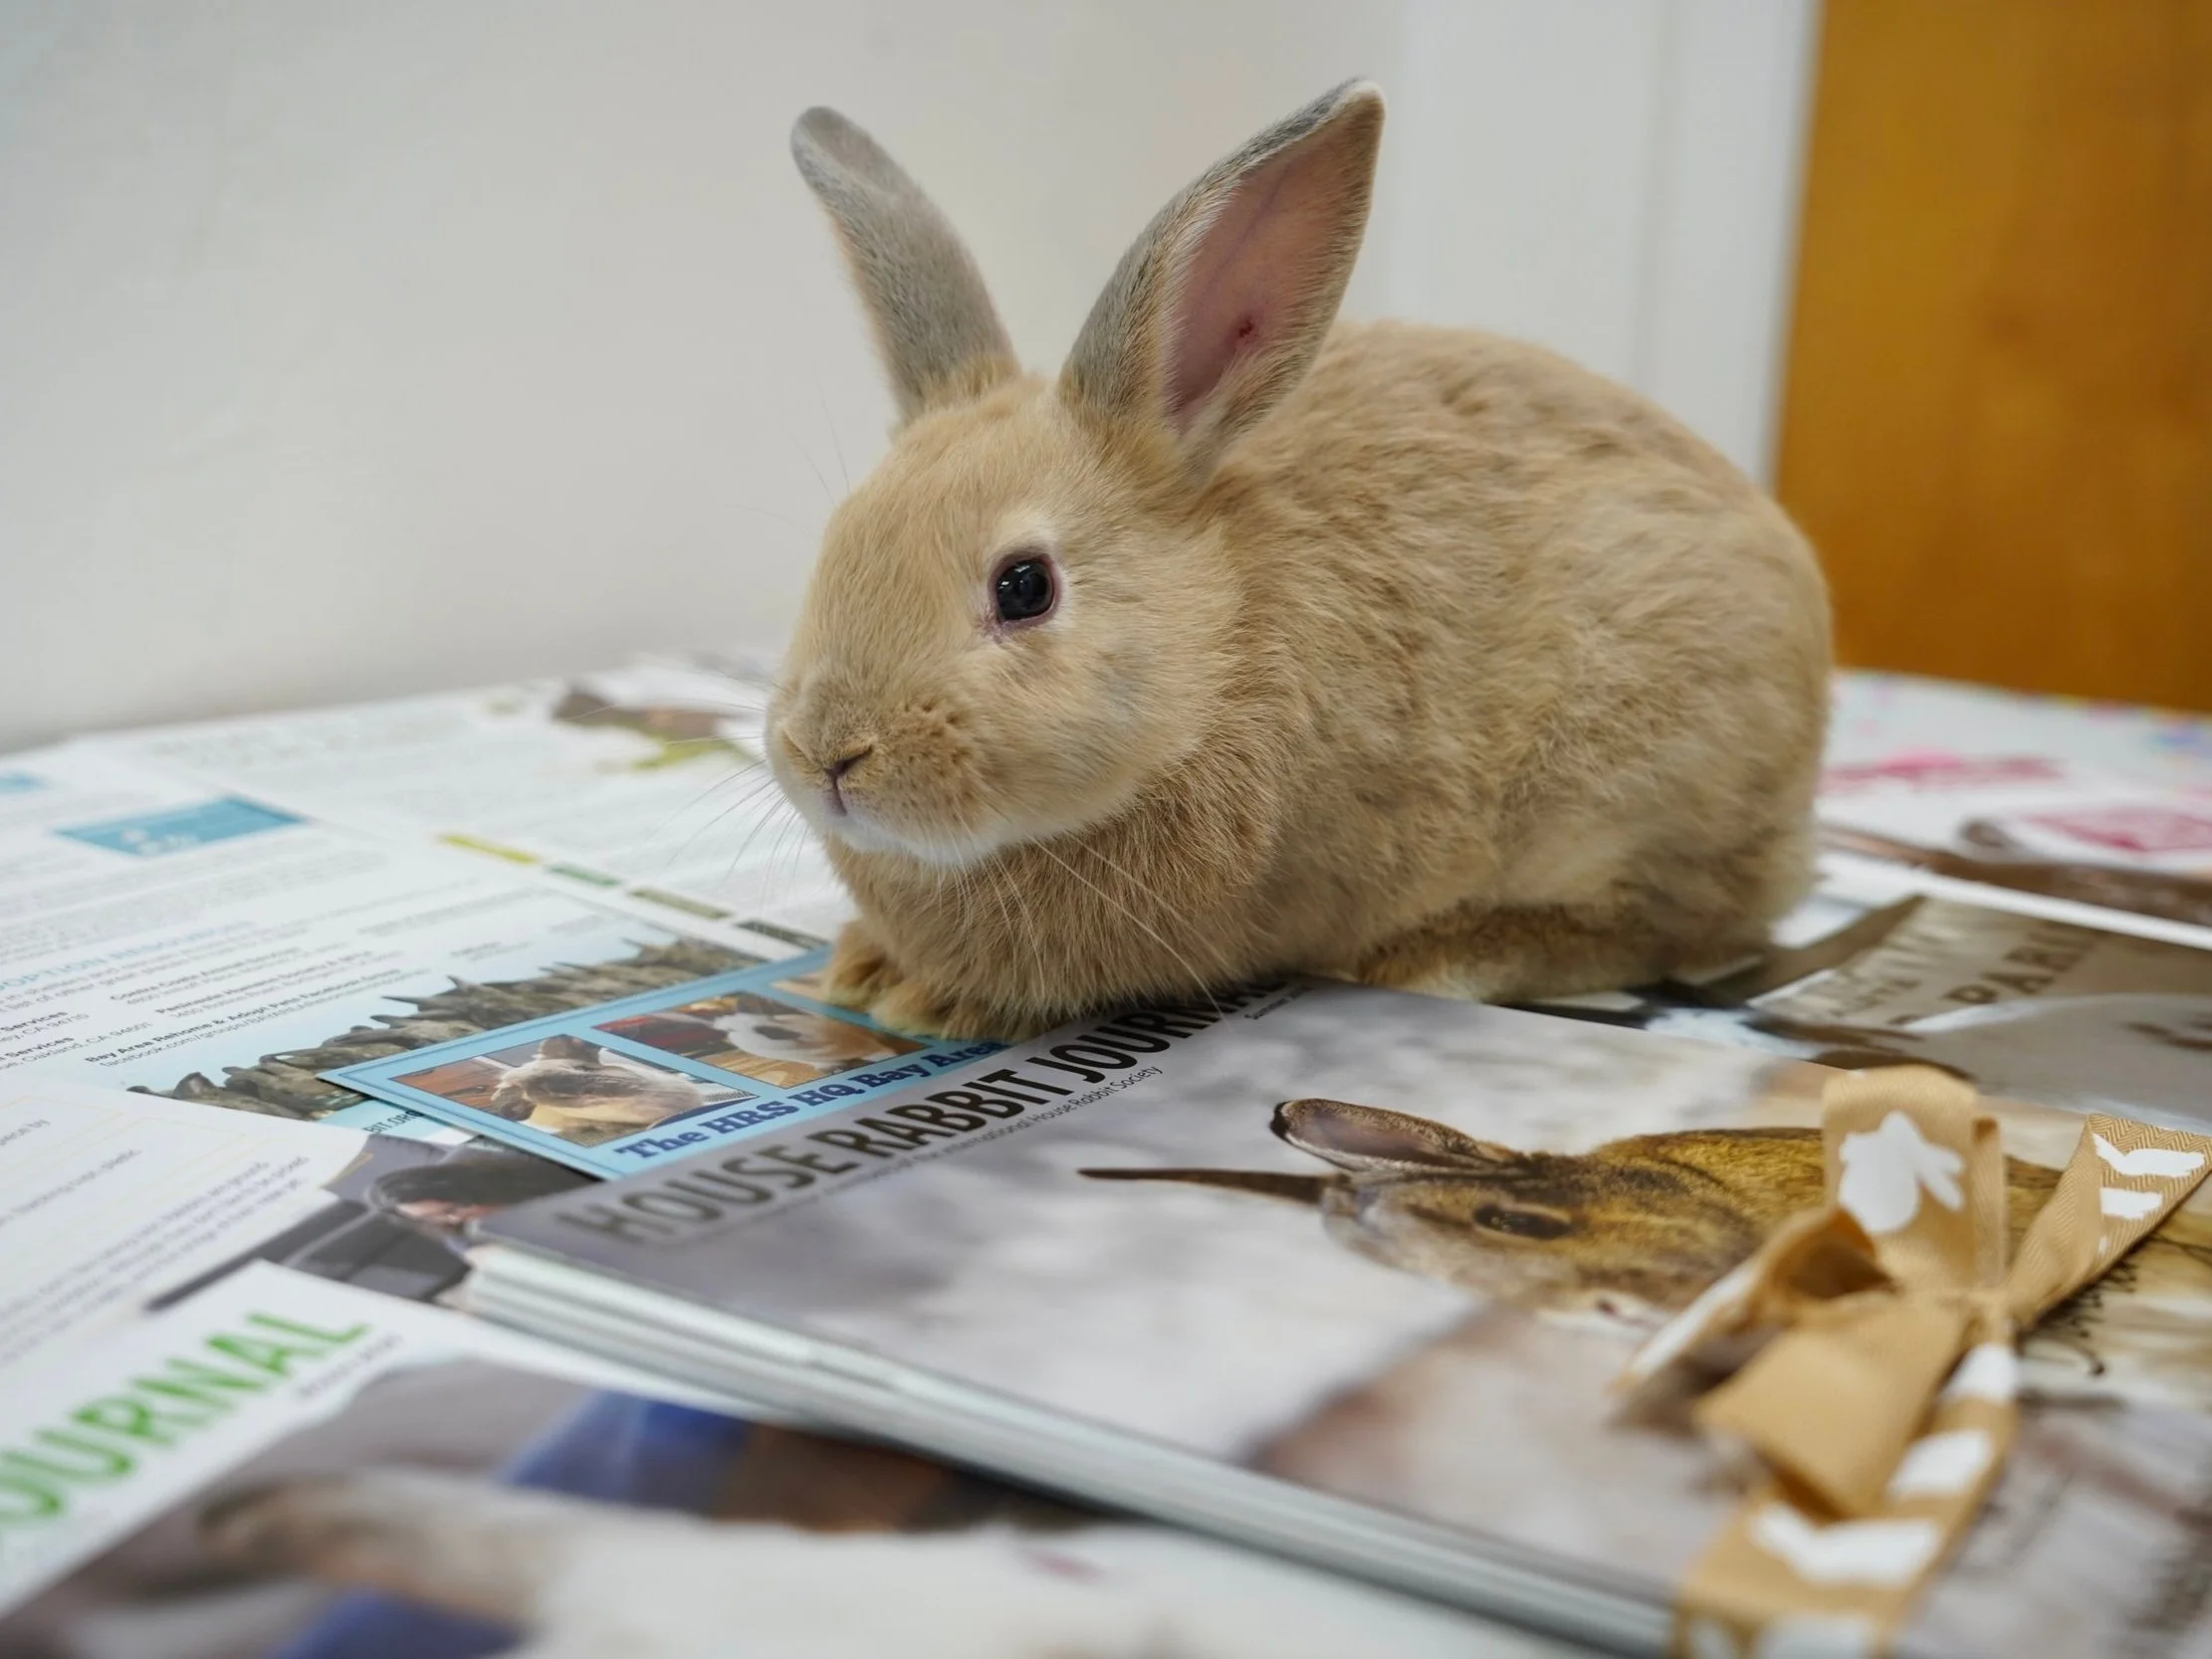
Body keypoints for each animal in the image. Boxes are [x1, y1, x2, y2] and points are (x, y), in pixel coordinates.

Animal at [767, 80, 1831, 1041]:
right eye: (835, 542)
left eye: (1025, 587)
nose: (829, 754)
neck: (1218, 651)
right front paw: (866, 968)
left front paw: (932, 997)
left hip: (1644, 787)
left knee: (1682, 927)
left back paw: (1442, 955)